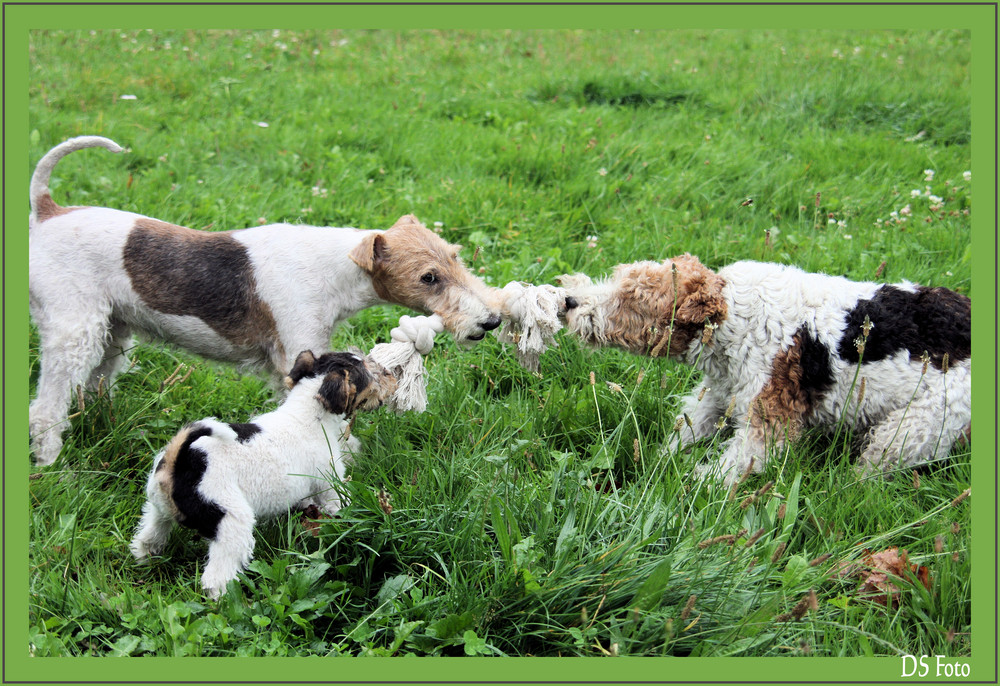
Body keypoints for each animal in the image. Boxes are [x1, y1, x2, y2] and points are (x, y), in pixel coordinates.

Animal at [29, 138, 500, 468]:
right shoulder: (301, 356)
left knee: (93, 387)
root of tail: (48, 210)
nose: (492, 321)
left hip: (113, 330)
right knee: (45, 409)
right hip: (74, 332)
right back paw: (52, 465)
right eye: (428, 277)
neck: (335, 271)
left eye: (455, 255)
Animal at [131, 352, 396, 600]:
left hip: (157, 510)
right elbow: (341, 505)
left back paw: (145, 559)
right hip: (231, 522)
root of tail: (180, 461)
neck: (307, 412)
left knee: (148, 536)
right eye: (368, 373)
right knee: (216, 577)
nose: (390, 376)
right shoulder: (330, 484)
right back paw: (225, 600)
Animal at [560, 255, 972, 486]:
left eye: (633, 299)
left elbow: (733, 463)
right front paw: (657, 460)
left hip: (915, 428)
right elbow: (683, 433)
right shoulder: (721, 394)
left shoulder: (768, 415)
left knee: (871, 469)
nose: (568, 301)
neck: (732, 316)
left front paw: (689, 483)